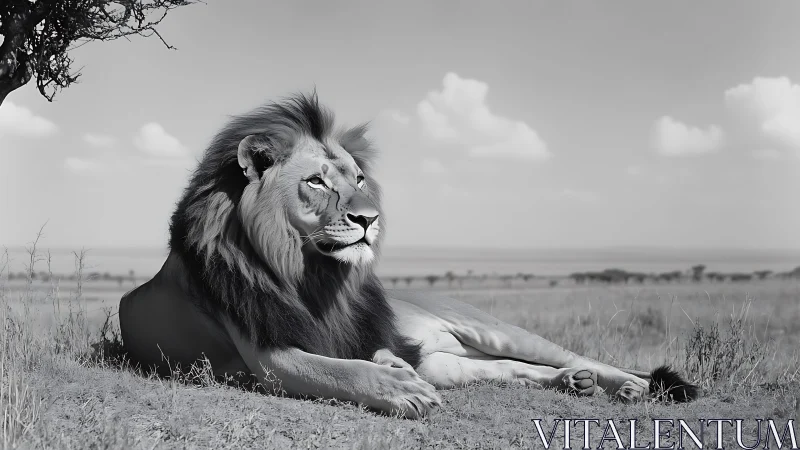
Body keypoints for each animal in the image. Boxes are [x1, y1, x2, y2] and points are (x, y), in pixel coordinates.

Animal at [119, 92, 698, 419]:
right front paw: (399, 383)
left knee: (573, 356)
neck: (308, 273)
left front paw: (394, 374)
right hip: (450, 364)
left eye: (357, 179)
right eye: (315, 182)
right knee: (513, 369)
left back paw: (627, 384)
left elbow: (351, 361)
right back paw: (571, 384)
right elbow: (338, 370)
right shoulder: (268, 353)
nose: (369, 219)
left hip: (491, 329)